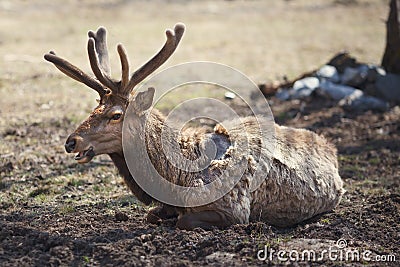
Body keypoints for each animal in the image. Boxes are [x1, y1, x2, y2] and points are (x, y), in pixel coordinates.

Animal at [44, 24, 344, 231]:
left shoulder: (234, 208)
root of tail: (331, 147)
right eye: (94, 106)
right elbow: (151, 214)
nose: (71, 141)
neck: (175, 180)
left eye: (116, 114)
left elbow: (184, 221)